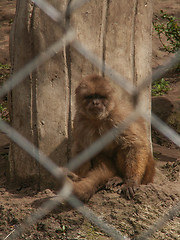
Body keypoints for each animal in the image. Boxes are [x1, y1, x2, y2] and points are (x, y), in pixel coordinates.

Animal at [67, 74, 155, 202]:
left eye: (100, 97)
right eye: (90, 97)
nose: (95, 102)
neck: (99, 120)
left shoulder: (120, 116)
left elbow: (135, 145)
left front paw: (131, 181)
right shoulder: (79, 121)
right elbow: (81, 148)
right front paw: (78, 177)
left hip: (147, 176)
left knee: (124, 146)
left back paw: (121, 178)